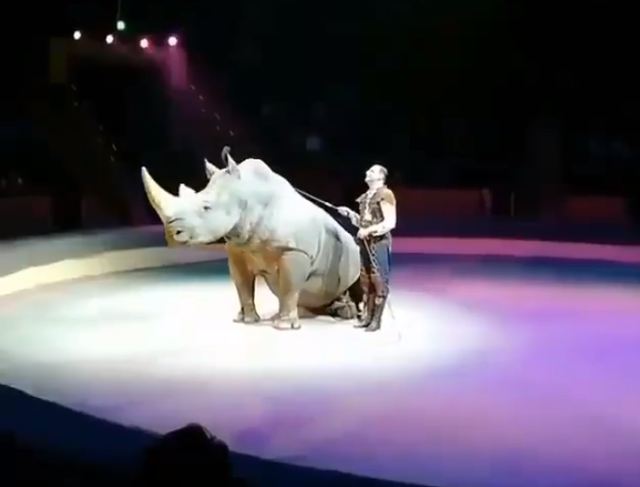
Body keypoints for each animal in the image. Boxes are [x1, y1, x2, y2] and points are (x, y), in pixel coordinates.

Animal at [142, 148, 362, 332]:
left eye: (206, 207)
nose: (171, 233)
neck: (248, 196)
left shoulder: (294, 250)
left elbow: (289, 287)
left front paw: (284, 326)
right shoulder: (237, 250)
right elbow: (242, 285)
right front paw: (245, 320)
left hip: (353, 250)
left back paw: (348, 313)